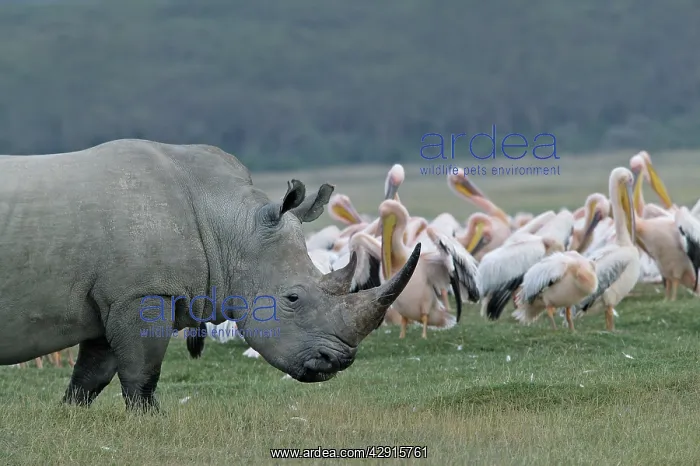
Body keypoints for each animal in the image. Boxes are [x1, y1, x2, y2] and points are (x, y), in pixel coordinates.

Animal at [0, 139, 420, 412]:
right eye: (293, 298)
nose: (338, 361)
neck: (230, 225)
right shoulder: (143, 293)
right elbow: (141, 373)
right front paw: (149, 421)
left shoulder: (115, 295)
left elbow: (91, 375)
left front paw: (70, 416)